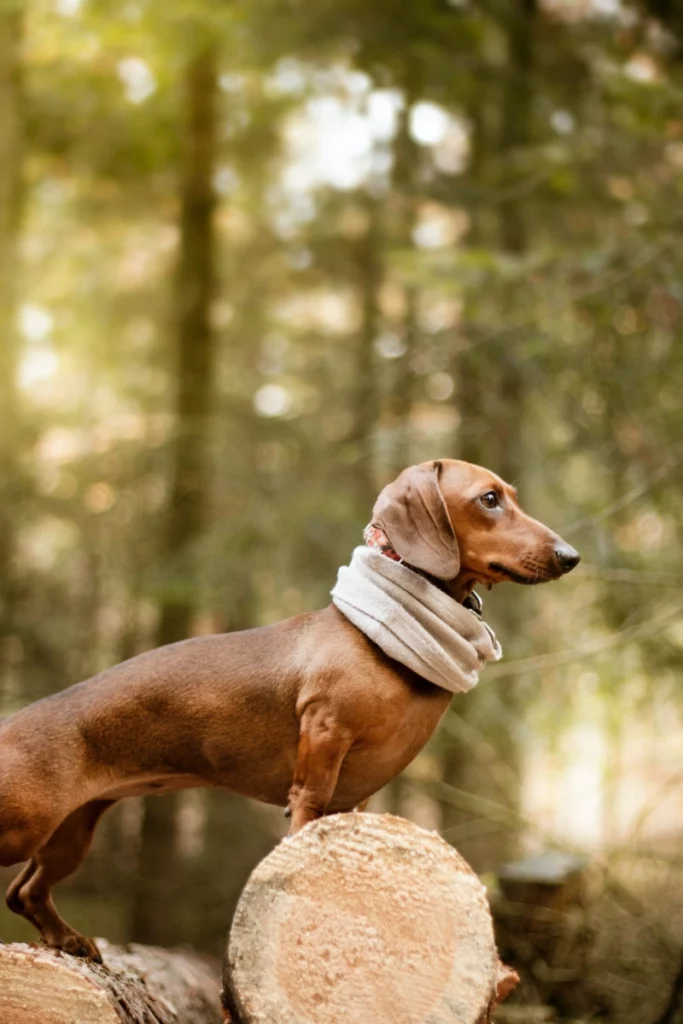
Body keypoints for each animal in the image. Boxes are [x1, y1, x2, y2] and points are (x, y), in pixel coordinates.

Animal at [0, 460, 581, 962]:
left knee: (24, 893)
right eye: (489, 499)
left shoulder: (358, 797)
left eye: (512, 496)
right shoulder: (324, 739)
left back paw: (67, 938)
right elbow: (307, 814)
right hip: (24, 828)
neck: (386, 638)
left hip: (70, 834)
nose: (571, 556)